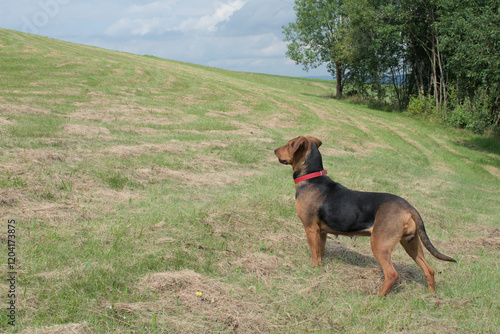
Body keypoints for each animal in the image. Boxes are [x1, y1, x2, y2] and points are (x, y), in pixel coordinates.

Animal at [276, 136, 456, 294]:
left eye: (290, 144)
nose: (274, 150)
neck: (312, 178)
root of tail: (409, 207)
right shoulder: (321, 232)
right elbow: (320, 253)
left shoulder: (310, 229)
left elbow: (314, 255)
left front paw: (313, 272)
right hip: (411, 244)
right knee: (429, 270)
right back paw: (431, 296)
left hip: (380, 245)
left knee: (392, 274)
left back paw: (377, 296)